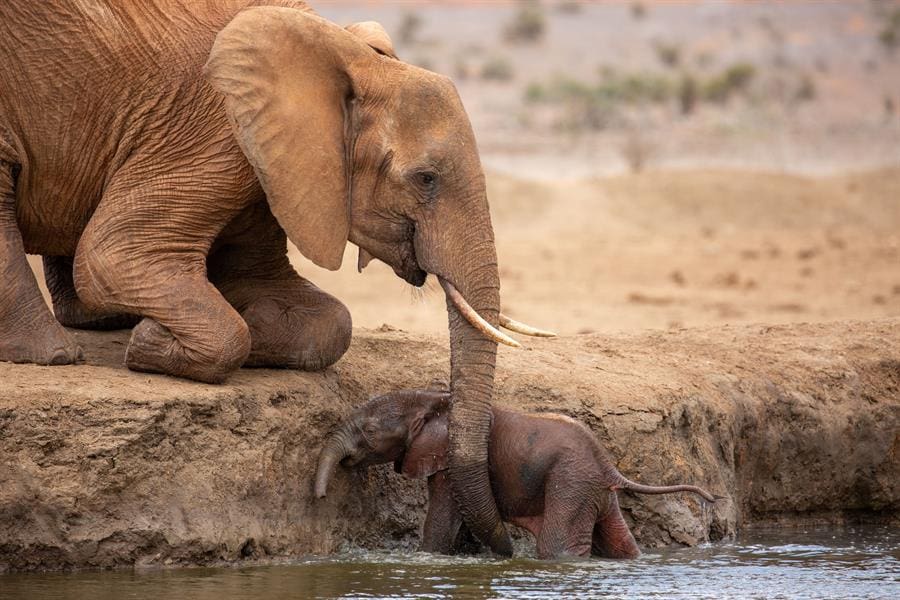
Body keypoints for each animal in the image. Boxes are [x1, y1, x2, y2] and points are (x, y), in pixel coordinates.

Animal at [0, 1, 552, 556]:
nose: (503, 548)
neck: (346, 58)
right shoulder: (217, 137)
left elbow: (324, 320)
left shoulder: (270, 162)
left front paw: (181, 330)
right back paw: (54, 353)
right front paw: (150, 341)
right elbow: (113, 255)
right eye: (425, 179)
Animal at [312, 392, 720, 560]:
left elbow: (442, 521)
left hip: (571, 482)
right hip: (594, 490)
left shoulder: (447, 463)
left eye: (367, 431)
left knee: (557, 546)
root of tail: (608, 465)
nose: (319, 497)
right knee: (619, 541)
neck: (430, 398)